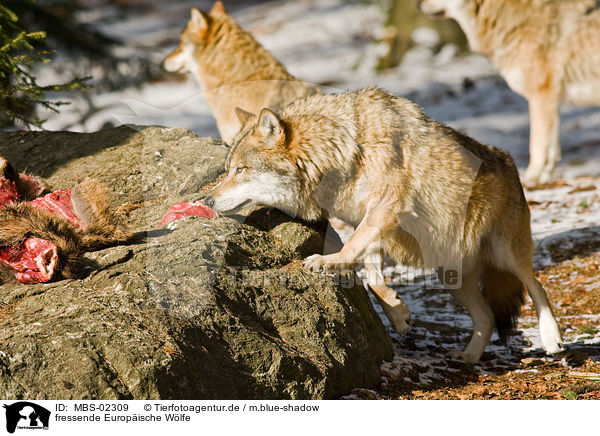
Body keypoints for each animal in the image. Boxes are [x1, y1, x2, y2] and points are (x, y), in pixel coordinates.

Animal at [204, 87, 564, 362]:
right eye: (228, 168)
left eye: (240, 170)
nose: (207, 200)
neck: (342, 151)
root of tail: (508, 160)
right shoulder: (368, 222)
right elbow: (371, 275)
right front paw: (398, 313)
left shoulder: (384, 209)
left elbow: (352, 251)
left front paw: (328, 261)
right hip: (450, 274)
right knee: (487, 318)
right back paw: (468, 357)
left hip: (505, 255)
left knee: (536, 285)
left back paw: (552, 339)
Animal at [418, 0, 600, 186]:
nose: (418, 4)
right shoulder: (552, 101)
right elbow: (552, 151)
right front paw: (544, 178)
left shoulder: (541, 95)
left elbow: (537, 146)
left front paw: (530, 178)